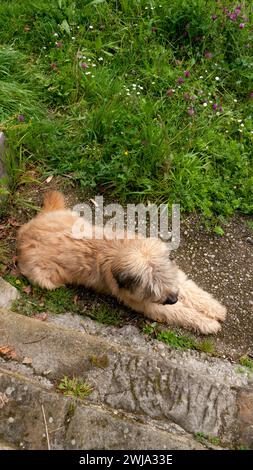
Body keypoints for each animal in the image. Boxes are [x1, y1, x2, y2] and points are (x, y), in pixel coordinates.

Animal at [16, 191, 225, 334]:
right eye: (150, 287)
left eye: (164, 276)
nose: (173, 299)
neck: (120, 251)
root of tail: (25, 231)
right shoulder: (148, 304)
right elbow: (179, 312)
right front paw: (207, 323)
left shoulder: (176, 279)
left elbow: (194, 292)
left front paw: (217, 309)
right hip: (45, 278)